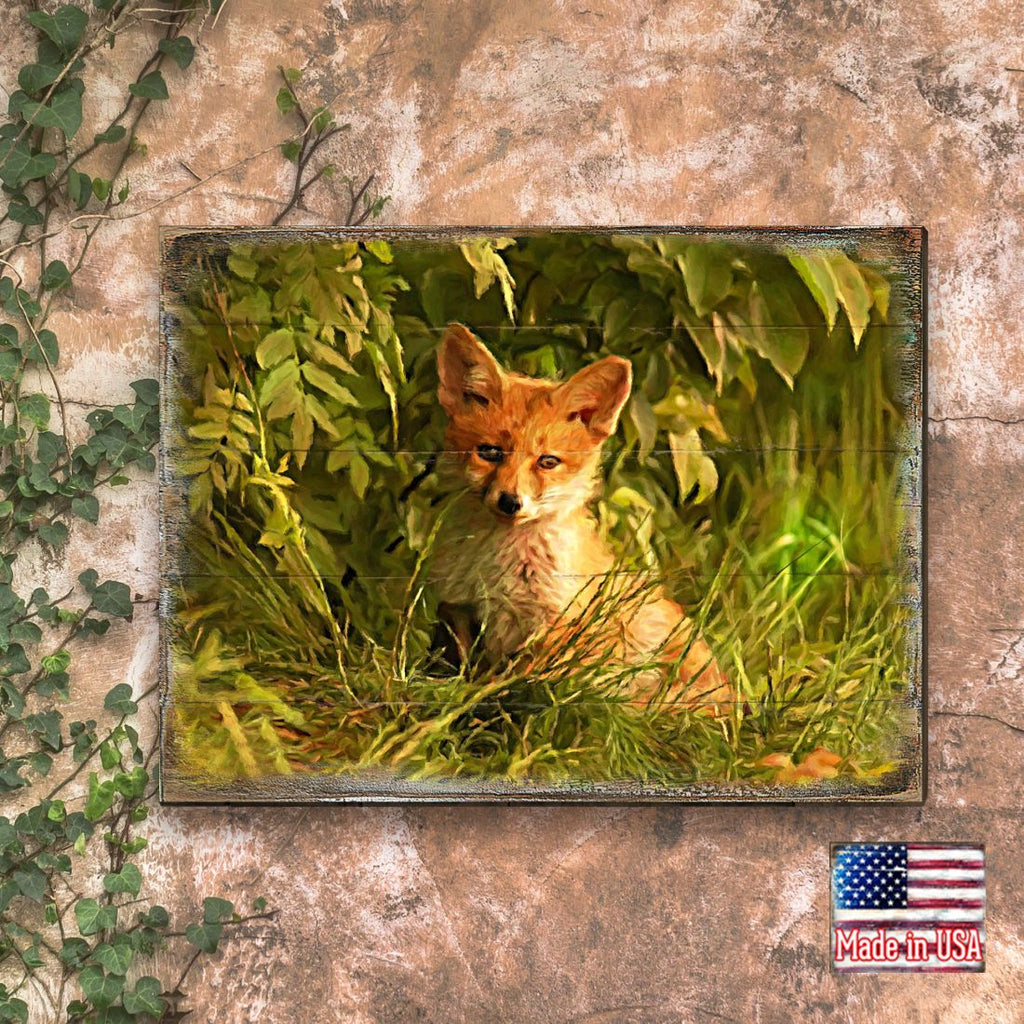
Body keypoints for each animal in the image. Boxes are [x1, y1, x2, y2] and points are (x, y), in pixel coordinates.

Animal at [429, 323, 731, 713]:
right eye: (490, 453)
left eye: (547, 461)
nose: (510, 501)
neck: (498, 566)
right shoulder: (460, 609)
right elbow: (464, 670)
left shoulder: (555, 625)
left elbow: (525, 685)